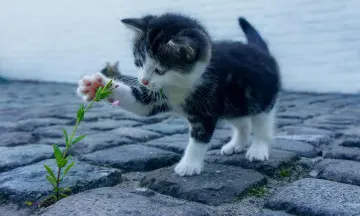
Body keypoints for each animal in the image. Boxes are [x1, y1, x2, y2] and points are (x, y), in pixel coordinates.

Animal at [76, 12, 282, 176]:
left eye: (160, 70)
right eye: (139, 62)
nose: (143, 80)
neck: (180, 85)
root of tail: (262, 52)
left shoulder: (208, 106)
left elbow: (199, 138)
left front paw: (189, 165)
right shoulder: (156, 96)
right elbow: (139, 103)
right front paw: (96, 86)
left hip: (260, 97)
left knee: (262, 124)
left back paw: (258, 149)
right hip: (234, 103)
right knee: (242, 122)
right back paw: (237, 144)